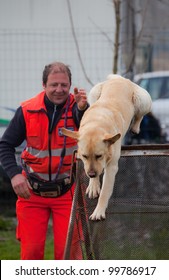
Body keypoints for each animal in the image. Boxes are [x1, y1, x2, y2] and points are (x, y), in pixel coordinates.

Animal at [61, 74, 152, 221]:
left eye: (99, 156)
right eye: (84, 156)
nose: (91, 174)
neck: (97, 123)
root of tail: (120, 79)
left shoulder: (111, 167)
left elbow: (105, 191)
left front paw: (98, 211)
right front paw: (93, 185)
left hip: (143, 100)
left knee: (139, 115)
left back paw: (135, 127)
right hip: (93, 93)